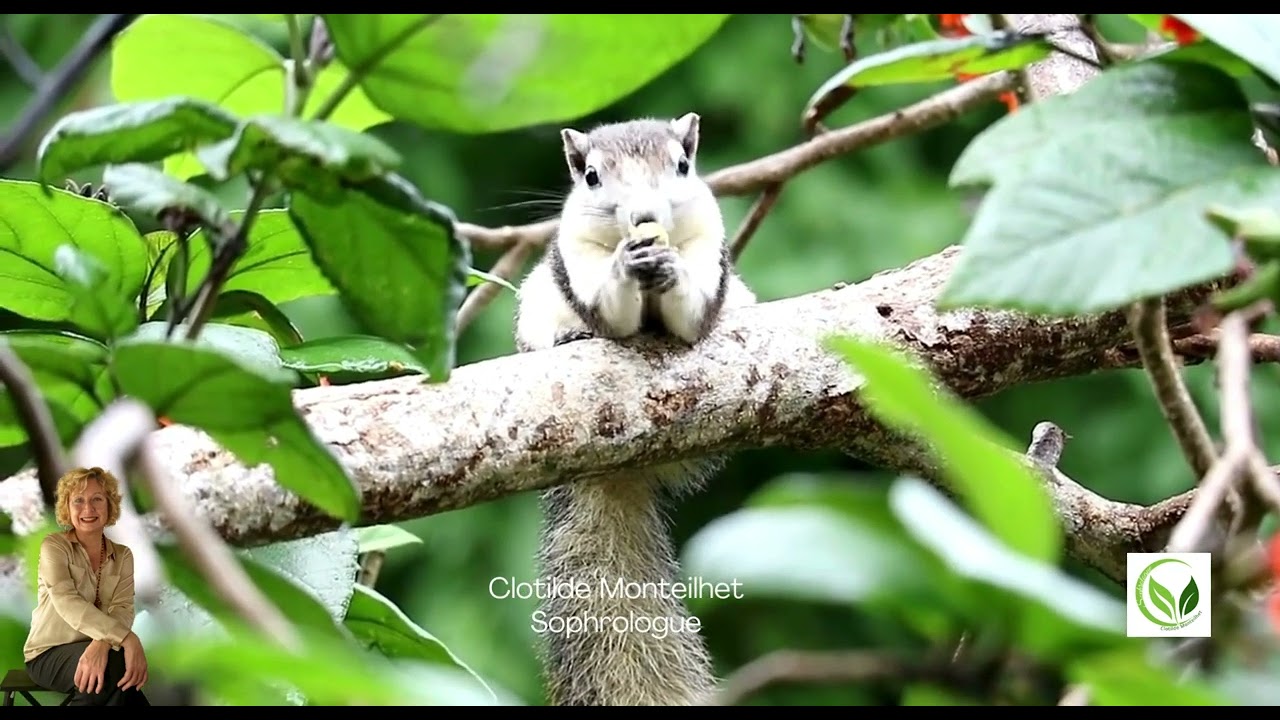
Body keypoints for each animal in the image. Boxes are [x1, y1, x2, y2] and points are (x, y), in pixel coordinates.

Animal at [512, 111, 756, 706]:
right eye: (592, 176)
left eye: (683, 165)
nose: (644, 215)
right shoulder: (574, 251)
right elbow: (612, 314)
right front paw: (624, 269)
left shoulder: (707, 241)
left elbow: (691, 317)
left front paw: (670, 271)